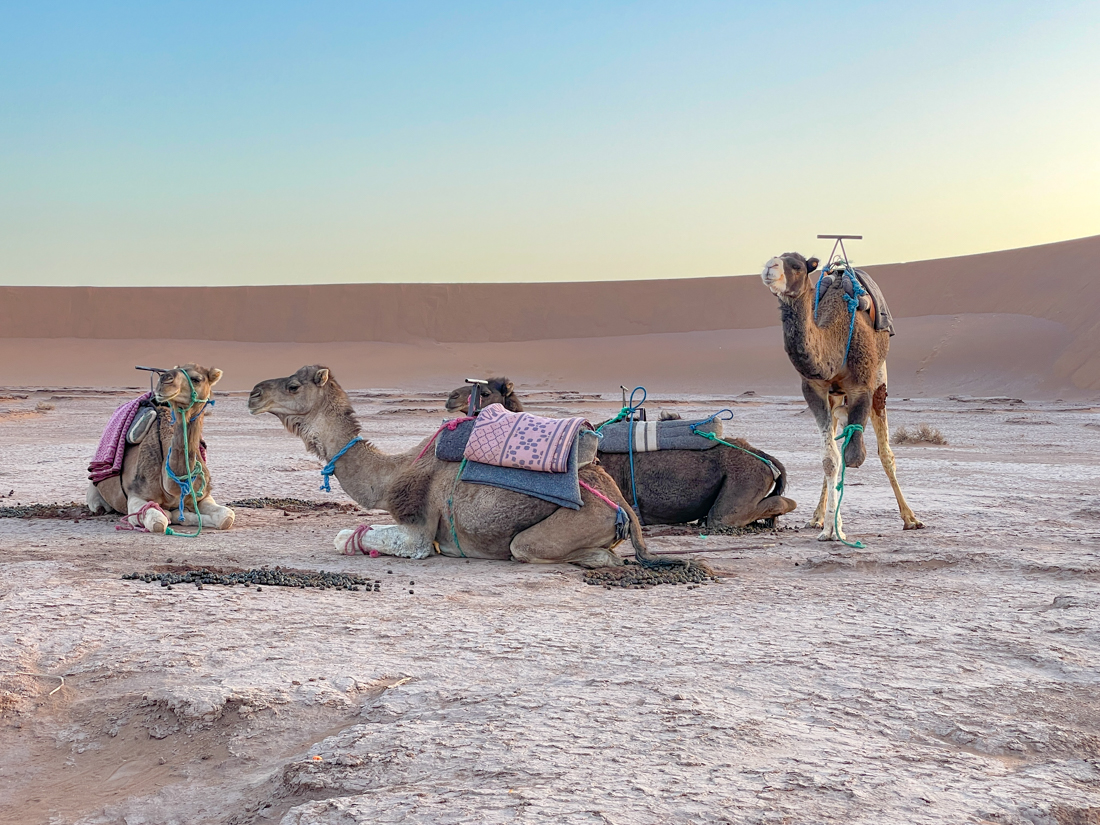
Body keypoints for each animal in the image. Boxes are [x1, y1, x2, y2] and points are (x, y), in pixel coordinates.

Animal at [85, 363, 234, 532]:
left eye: (196, 379)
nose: (165, 379)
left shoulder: (204, 495)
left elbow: (226, 517)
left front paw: (184, 514)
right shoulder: (136, 496)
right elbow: (159, 521)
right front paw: (175, 514)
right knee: (98, 504)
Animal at [761, 251, 924, 543]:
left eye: (797, 266)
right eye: (776, 257)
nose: (770, 267)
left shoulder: (861, 387)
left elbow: (853, 455)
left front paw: (837, 528)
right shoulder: (814, 390)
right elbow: (830, 459)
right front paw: (829, 528)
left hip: (879, 379)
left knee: (885, 452)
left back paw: (911, 518)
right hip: (835, 398)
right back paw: (816, 517)